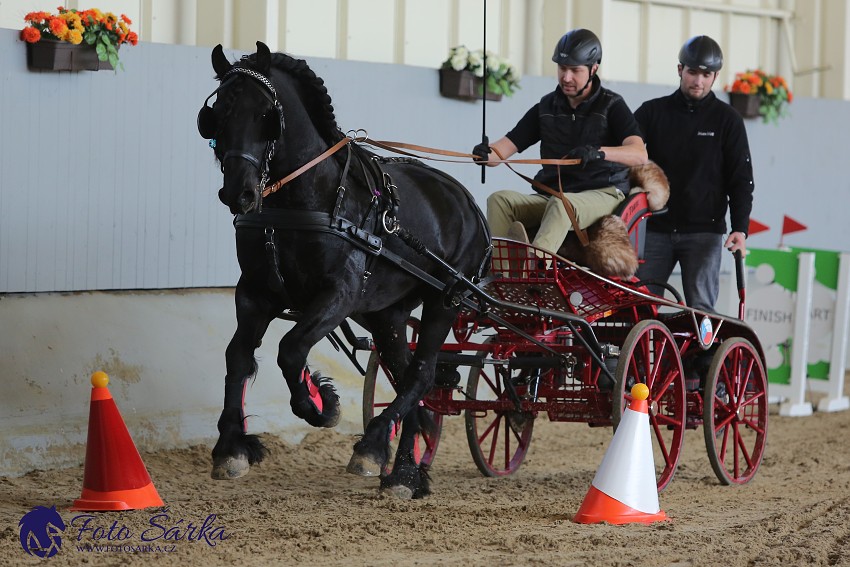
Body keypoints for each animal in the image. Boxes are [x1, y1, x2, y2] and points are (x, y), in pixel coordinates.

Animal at [198, 43, 486, 496]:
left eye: (265, 114)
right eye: (217, 114)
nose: (237, 193)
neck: (305, 199)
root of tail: (467, 201)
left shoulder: (340, 294)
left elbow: (291, 349)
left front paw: (321, 404)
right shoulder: (255, 293)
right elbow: (238, 357)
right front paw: (231, 447)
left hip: (445, 302)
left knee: (421, 374)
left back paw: (378, 449)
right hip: (387, 315)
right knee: (407, 376)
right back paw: (403, 467)